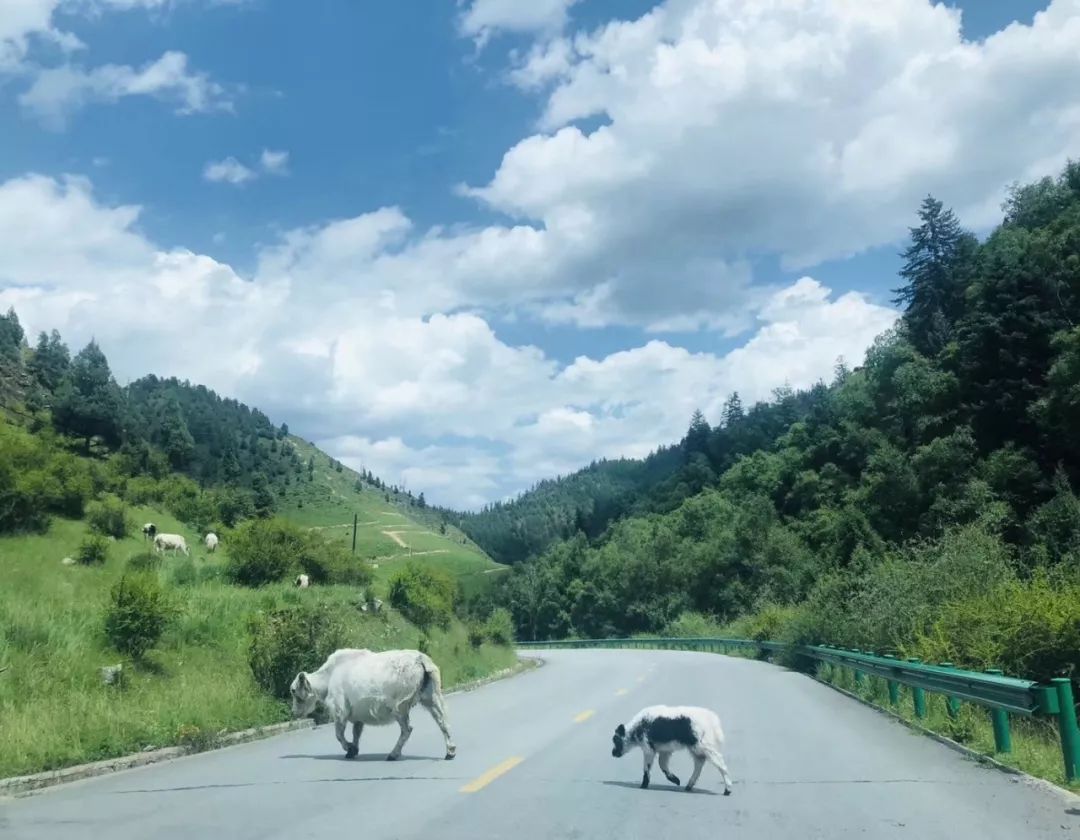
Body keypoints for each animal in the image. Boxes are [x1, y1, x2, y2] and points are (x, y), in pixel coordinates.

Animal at [289, 647, 453, 760]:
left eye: (294, 691)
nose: (294, 712)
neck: (329, 677)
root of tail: (421, 660)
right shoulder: (357, 714)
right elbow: (356, 732)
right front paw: (353, 750)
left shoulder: (340, 709)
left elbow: (339, 734)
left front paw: (349, 748)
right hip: (431, 696)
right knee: (442, 721)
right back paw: (450, 751)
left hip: (399, 705)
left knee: (407, 729)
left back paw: (393, 754)